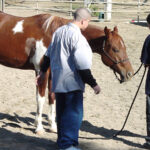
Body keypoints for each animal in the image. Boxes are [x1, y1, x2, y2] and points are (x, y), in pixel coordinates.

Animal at [0, 11, 134, 134]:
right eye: (115, 49)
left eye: (125, 47)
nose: (129, 73)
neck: (52, 35)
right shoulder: (41, 72)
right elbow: (40, 98)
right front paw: (39, 128)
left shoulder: (52, 73)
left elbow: (52, 97)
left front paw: (53, 127)